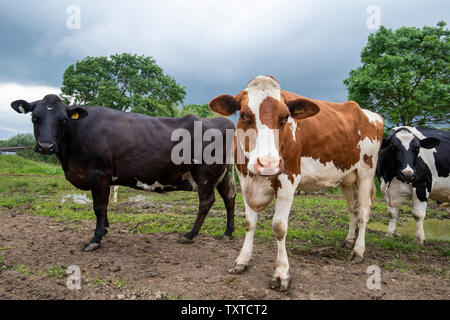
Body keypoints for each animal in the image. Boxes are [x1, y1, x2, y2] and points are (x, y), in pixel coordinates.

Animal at [10, 94, 236, 251]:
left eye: (63, 120)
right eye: (34, 118)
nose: (46, 146)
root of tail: (220, 121)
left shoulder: (99, 173)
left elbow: (99, 207)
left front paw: (95, 239)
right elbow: (103, 207)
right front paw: (105, 230)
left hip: (206, 173)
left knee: (207, 201)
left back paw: (190, 235)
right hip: (222, 173)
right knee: (229, 196)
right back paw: (228, 233)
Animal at [210, 76, 384, 292]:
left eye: (285, 117)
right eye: (243, 114)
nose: (268, 164)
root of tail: (371, 115)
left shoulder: (288, 180)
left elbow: (279, 227)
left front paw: (281, 273)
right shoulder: (245, 180)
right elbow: (250, 223)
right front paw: (242, 260)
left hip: (366, 171)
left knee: (364, 211)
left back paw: (358, 250)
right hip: (346, 177)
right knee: (352, 208)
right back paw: (349, 240)